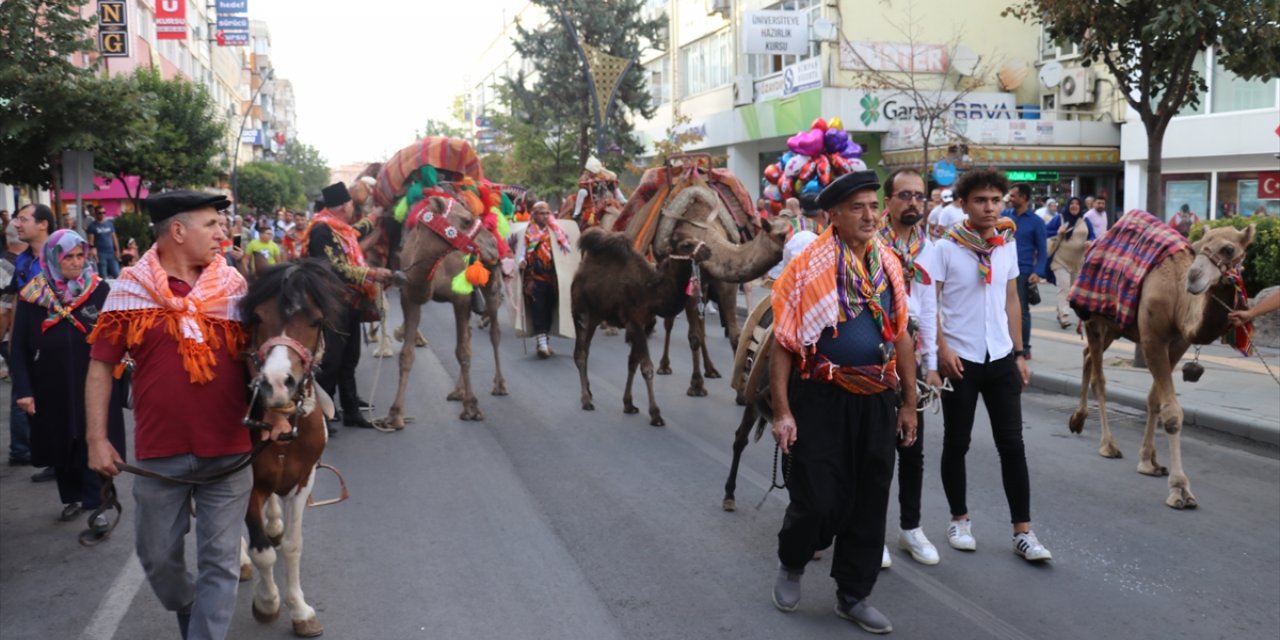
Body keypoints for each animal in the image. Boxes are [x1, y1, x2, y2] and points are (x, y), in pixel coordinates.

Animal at [236, 259, 345, 634]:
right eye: (257, 317)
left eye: (315, 320)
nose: (277, 383)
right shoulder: (246, 483)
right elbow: (263, 552)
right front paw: (268, 602)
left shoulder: (302, 478)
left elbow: (293, 546)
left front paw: (300, 609)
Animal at [570, 227, 711, 427]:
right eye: (686, 245)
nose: (708, 250)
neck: (651, 292)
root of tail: (580, 271)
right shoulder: (635, 322)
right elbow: (647, 368)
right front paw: (656, 414)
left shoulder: (645, 325)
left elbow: (632, 363)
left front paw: (628, 404)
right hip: (581, 311)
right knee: (580, 353)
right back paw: (586, 400)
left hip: (596, 316)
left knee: (586, 349)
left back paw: (589, 392)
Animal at [616, 153, 788, 394]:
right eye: (782, 234)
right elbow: (694, 336)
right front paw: (696, 385)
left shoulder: (724, 280)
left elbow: (734, 334)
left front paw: (736, 388)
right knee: (672, 322)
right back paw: (665, 366)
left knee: (701, 321)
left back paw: (711, 369)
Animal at [1064, 211, 1254, 509]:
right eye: (1198, 248)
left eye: (1229, 249)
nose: (1194, 278)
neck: (1178, 301)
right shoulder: (1152, 338)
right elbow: (1172, 411)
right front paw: (1180, 489)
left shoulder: (1177, 343)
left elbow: (1154, 399)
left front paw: (1149, 461)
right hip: (1095, 318)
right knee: (1099, 378)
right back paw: (1108, 444)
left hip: (1116, 324)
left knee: (1086, 357)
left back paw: (1078, 420)